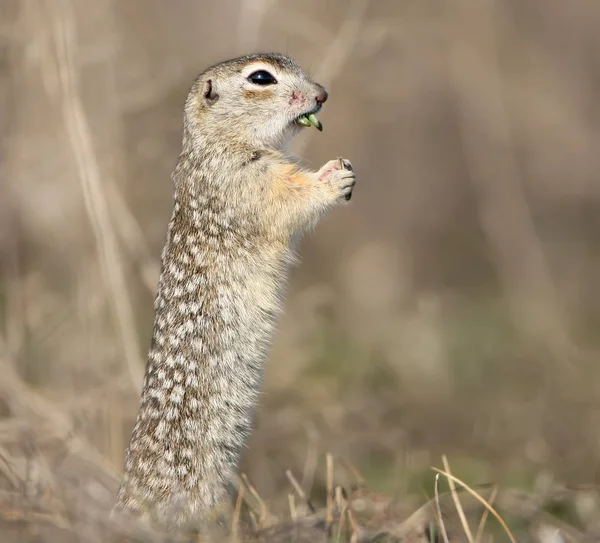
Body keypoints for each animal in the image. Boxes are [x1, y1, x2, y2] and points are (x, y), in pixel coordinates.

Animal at [115, 53, 354, 528]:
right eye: (261, 77)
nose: (323, 94)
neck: (215, 144)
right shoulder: (244, 182)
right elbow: (288, 201)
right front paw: (332, 178)